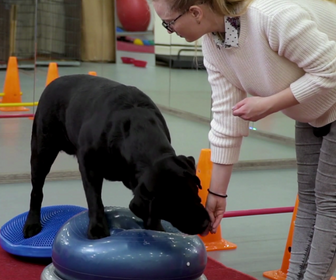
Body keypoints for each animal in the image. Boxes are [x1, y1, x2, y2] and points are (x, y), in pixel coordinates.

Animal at [23, 74, 210, 238]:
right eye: (171, 205)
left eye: (194, 190)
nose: (204, 224)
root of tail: (53, 83)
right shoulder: (89, 165)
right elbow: (94, 199)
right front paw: (98, 228)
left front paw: (155, 228)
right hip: (42, 151)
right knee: (36, 190)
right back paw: (32, 224)